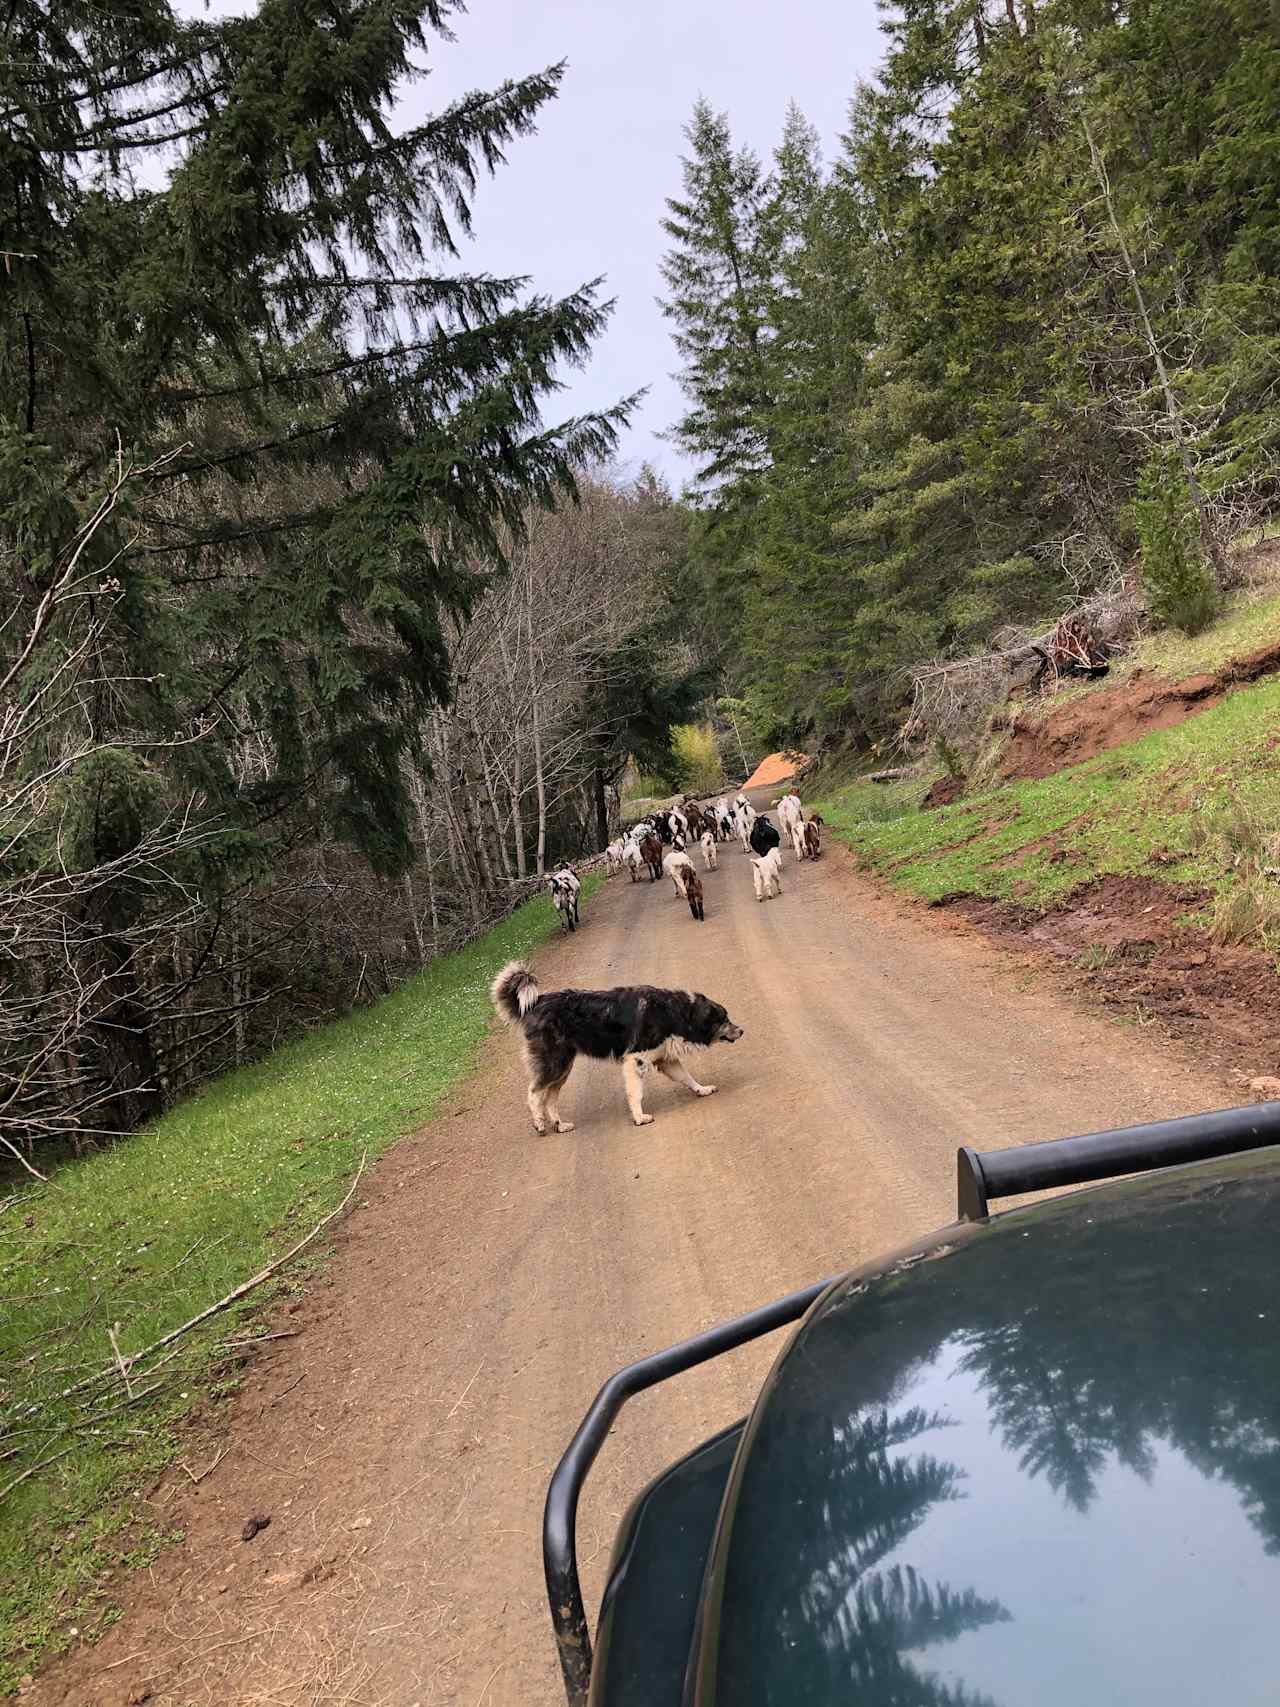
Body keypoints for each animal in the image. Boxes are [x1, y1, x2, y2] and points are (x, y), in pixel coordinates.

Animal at [488, 962, 740, 1133]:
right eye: (724, 1019)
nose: (742, 1031)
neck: (676, 1012)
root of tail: (538, 1001)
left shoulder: (664, 1059)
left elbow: (687, 1078)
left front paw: (702, 1090)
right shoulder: (636, 1060)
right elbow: (636, 1093)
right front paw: (639, 1118)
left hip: (563, 1068)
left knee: (549, 1097)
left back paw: (560, 1125)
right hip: (554, 1063)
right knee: (534, 1092)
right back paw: (539, 1123)